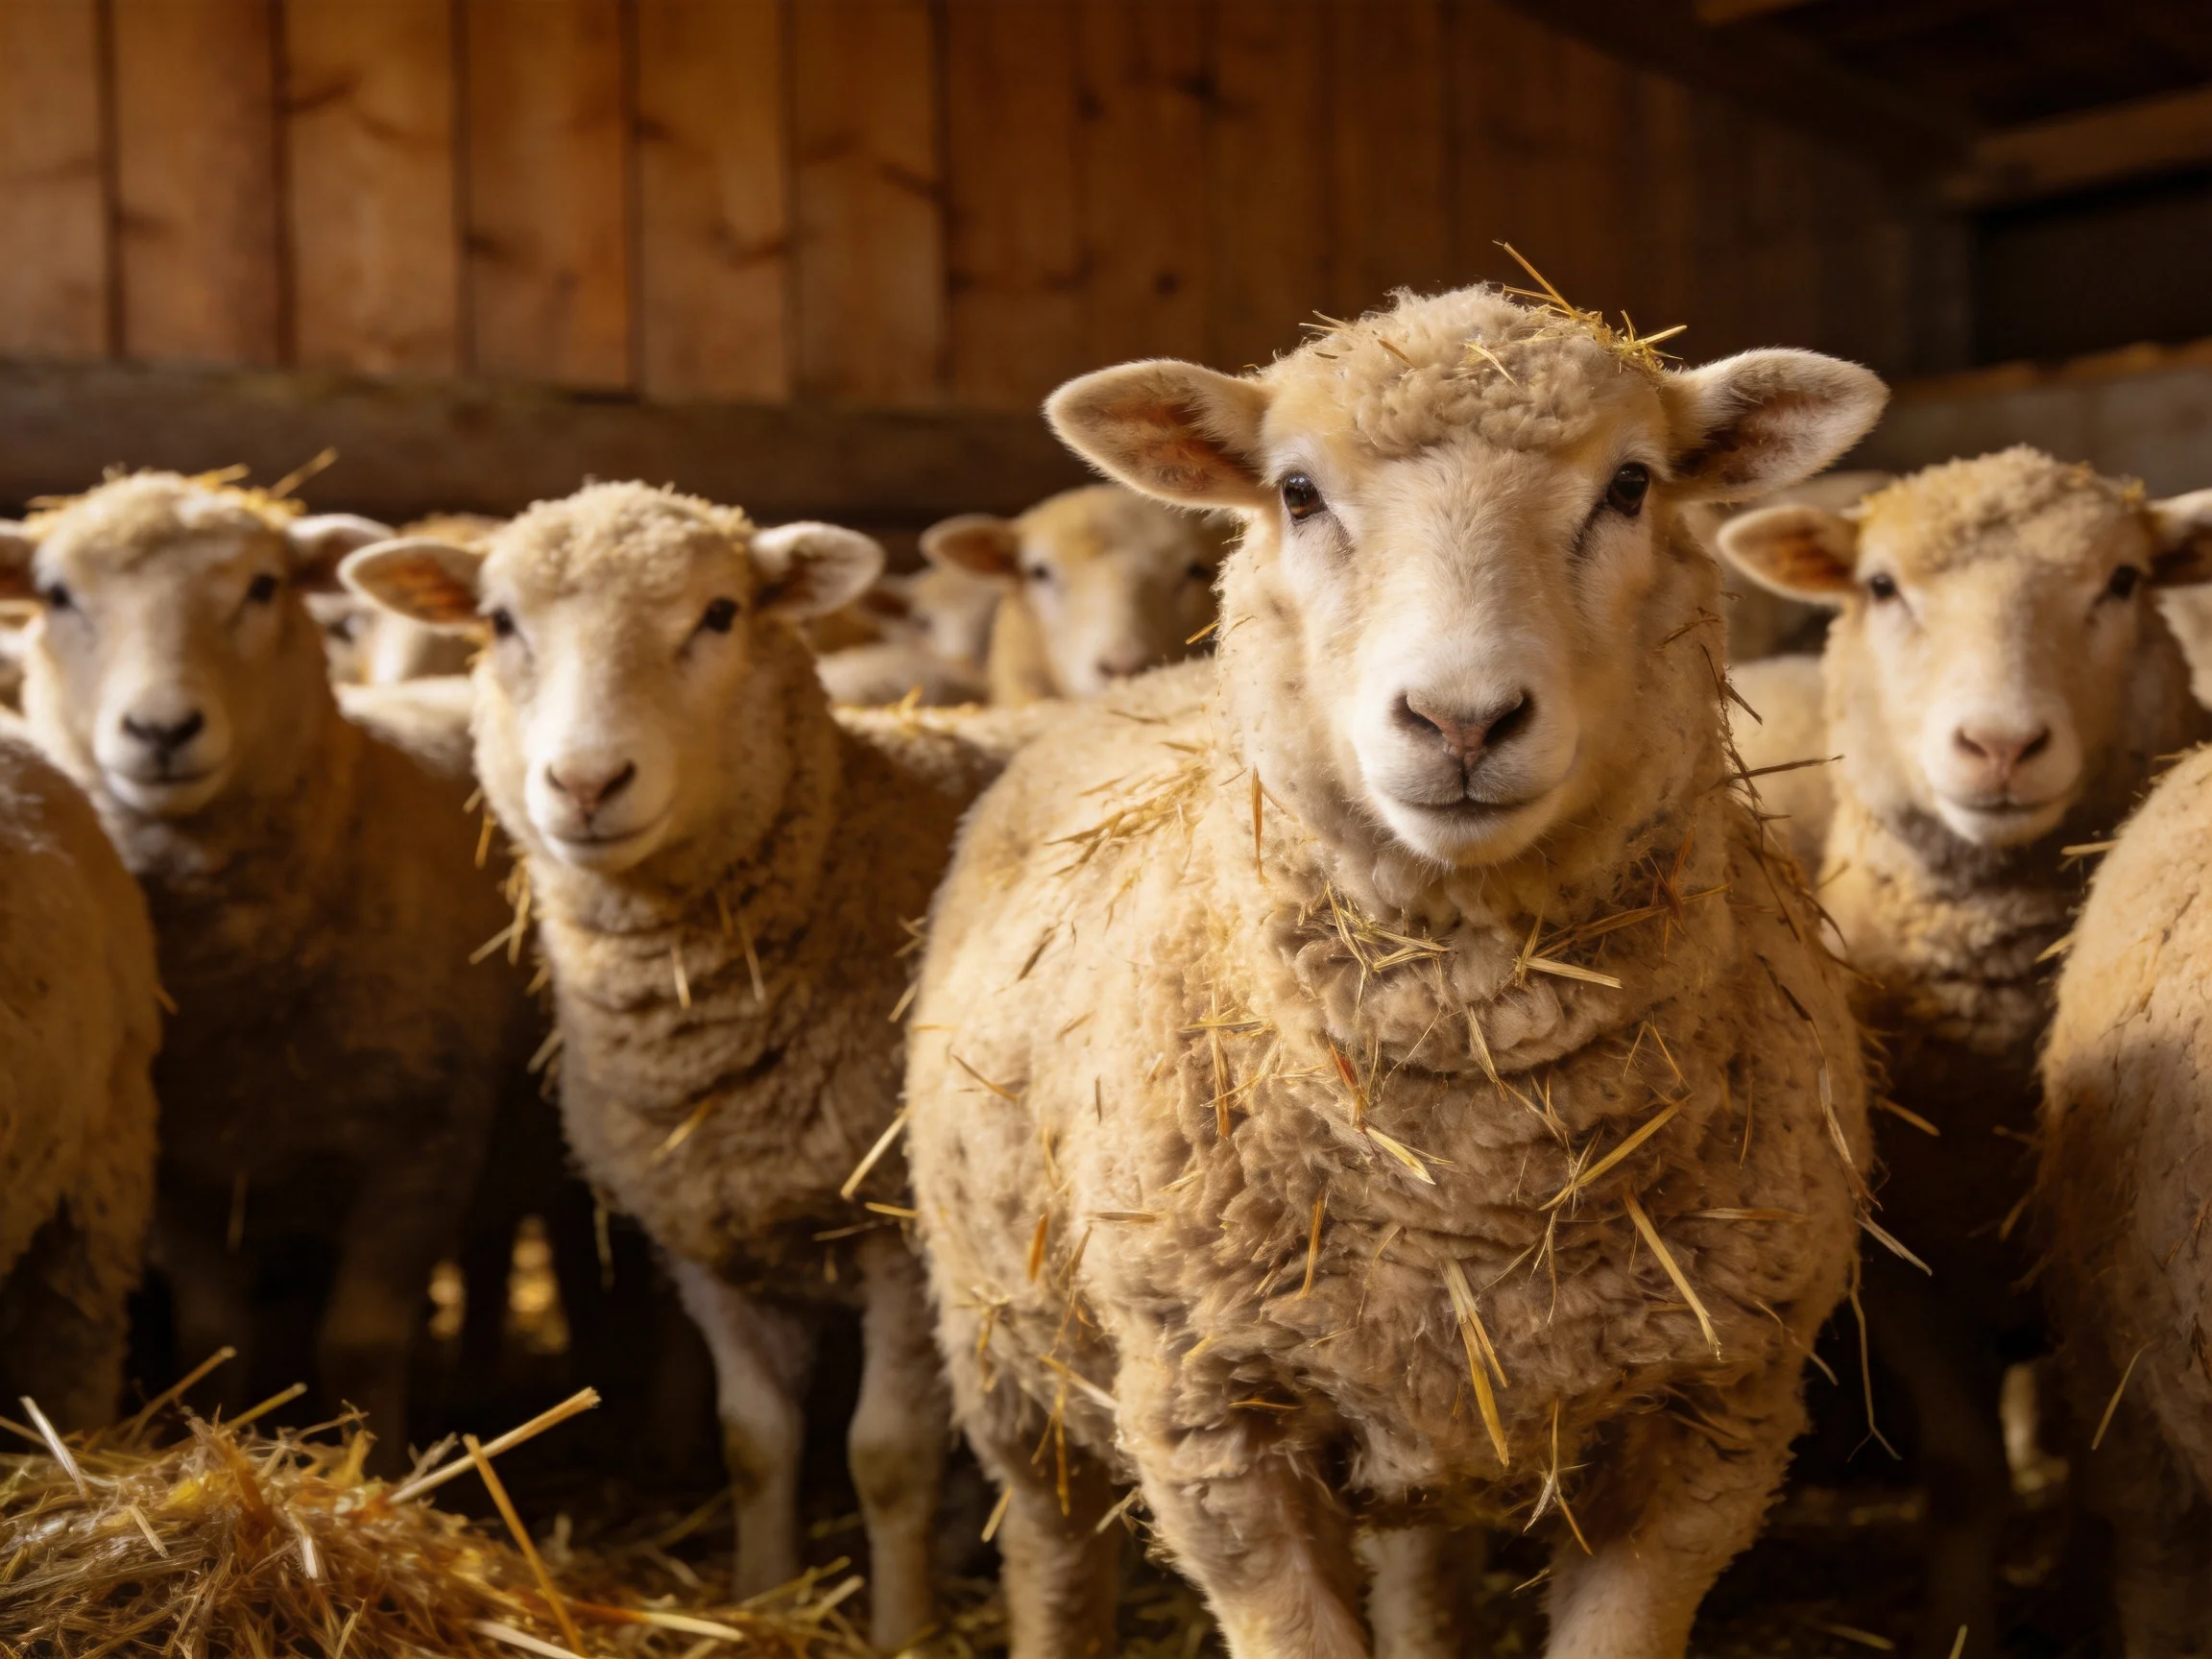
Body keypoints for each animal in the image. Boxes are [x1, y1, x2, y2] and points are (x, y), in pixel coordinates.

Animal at [1, 473, 538, 1464]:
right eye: (56, 595)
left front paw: (377, 1465)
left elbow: (361, 1344)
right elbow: (216, 1337)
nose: (161, 729)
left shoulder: (427, 1145)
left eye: (262, 586)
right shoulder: (185, 1173)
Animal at [340, 482, 1015, 1651]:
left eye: (720, 613)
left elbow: (886, 1455)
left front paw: (900, 1625)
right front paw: (763, 1597)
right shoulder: (706, 1235)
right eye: (500, 622)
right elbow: (754, 1439)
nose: (585, 780)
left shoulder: (897, 1234)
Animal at [1719, 450, 2212, 1658]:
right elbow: (1962, 1472)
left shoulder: (2083, 1292)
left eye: (2122, 580)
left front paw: (2079, 1602)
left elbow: (2094, 1471)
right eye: (1882, 586)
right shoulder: (1906, 1274)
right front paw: (1958, 1624)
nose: (2000, 747)